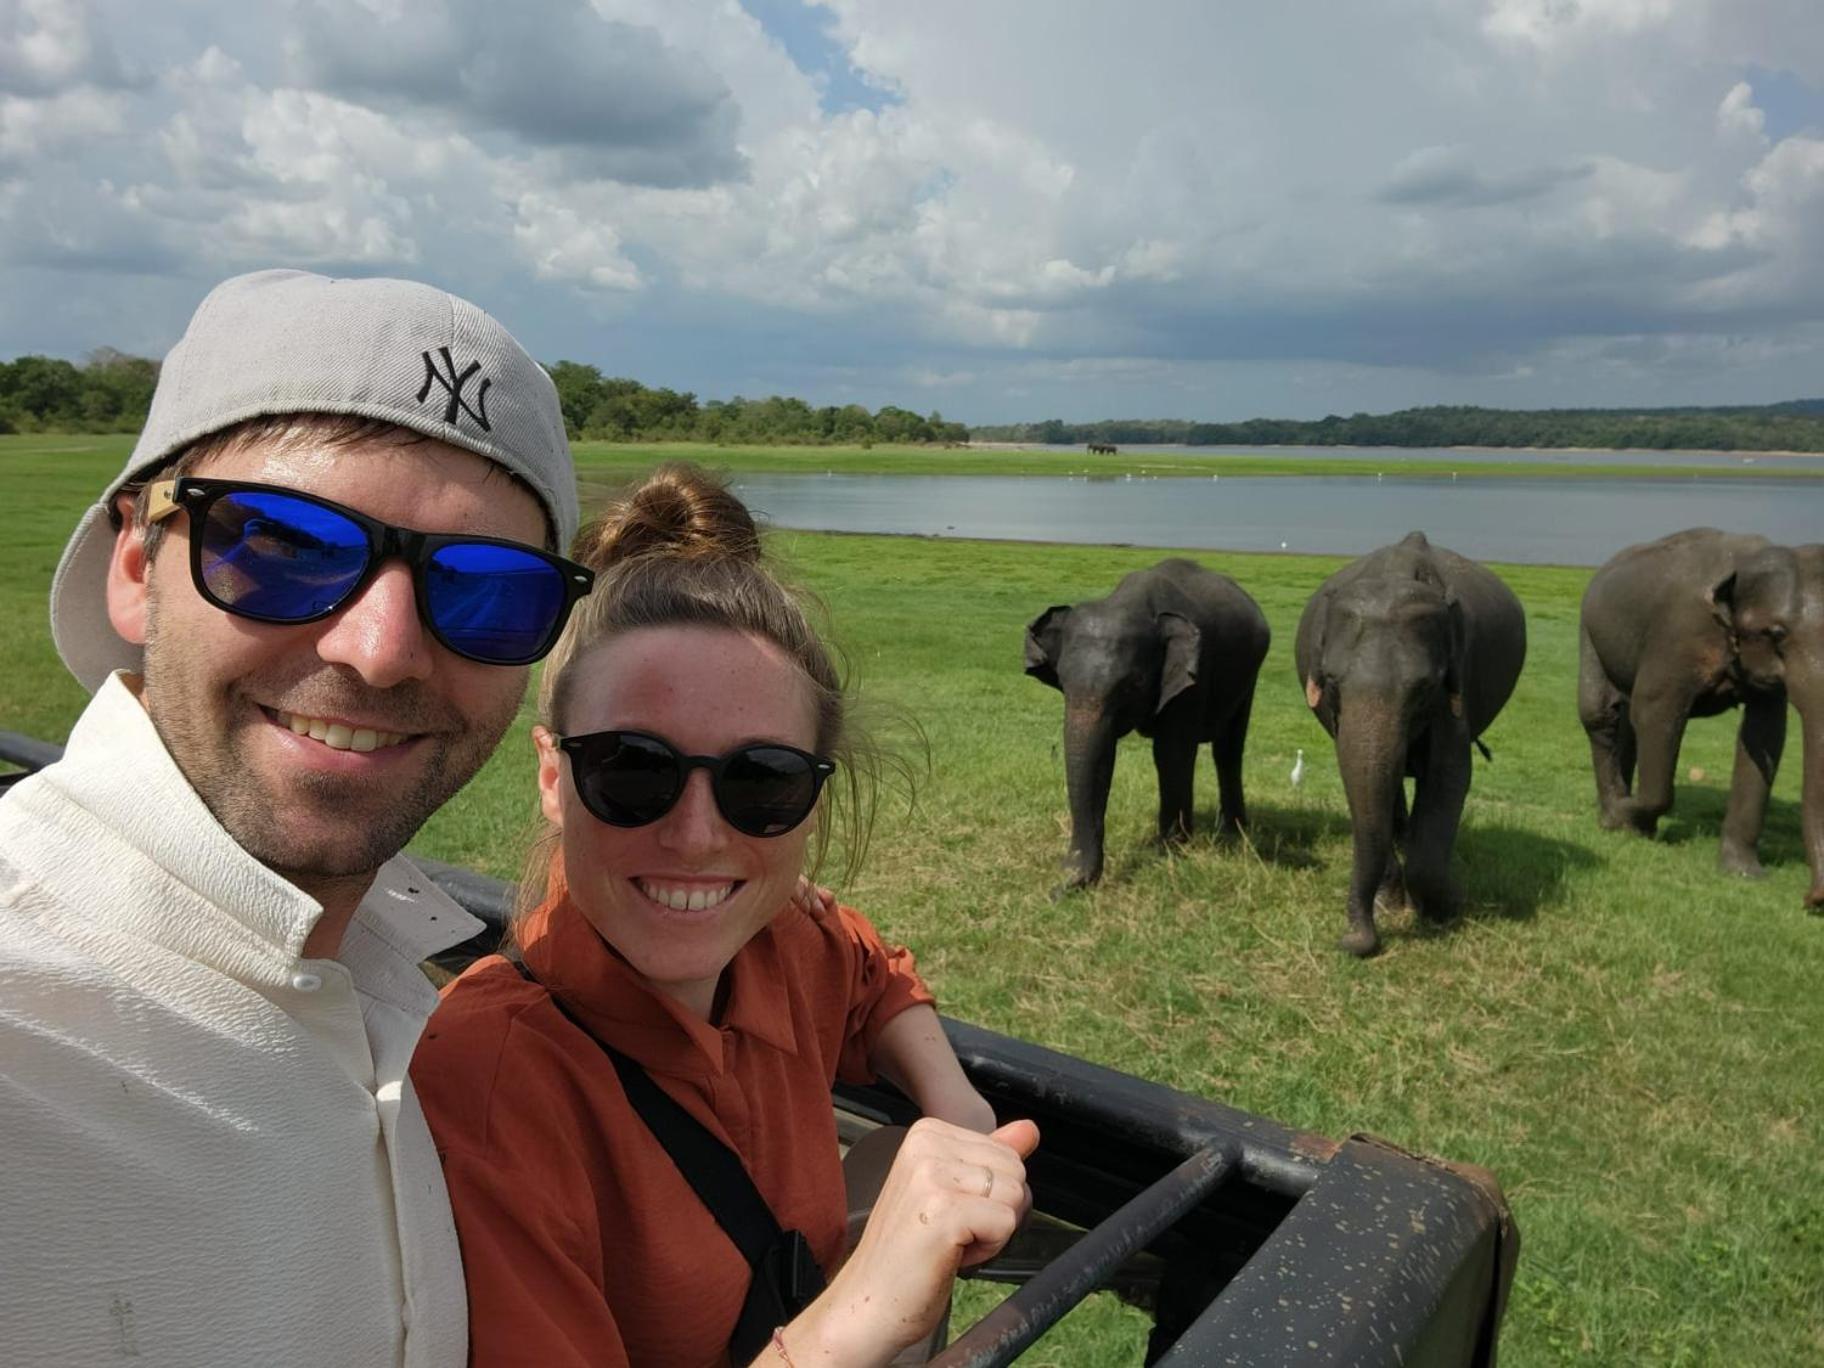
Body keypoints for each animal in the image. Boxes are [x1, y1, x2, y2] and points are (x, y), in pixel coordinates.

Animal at [1028, 558, 1269, 893]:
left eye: (1133, 685)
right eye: (1062, 681)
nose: (1056, 890)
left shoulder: (1193, 674)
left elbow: (1170, 753)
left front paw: (1168, 849)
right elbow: (1104, 756)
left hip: (1249, 676)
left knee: (1228, 748)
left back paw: (1233, 833)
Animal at [1291, 528, 1532, 955]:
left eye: (1423, 688)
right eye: (1332, 682)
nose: (1351, 940)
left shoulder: (1456, 681)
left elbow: (1449, 776)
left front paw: (1443, 907)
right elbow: (1362, 780)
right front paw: (1394, 903)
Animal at [1575, 528, 1816, 912]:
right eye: (1777, 633)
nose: (1811, 901)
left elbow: (1765, 734)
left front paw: (1744, 874)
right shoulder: (1678, 634)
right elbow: (1654, 708)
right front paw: (1626, 816)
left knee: (1625, 720)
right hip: (1590, 629)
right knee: (1602, 713)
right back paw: (1613, 814)